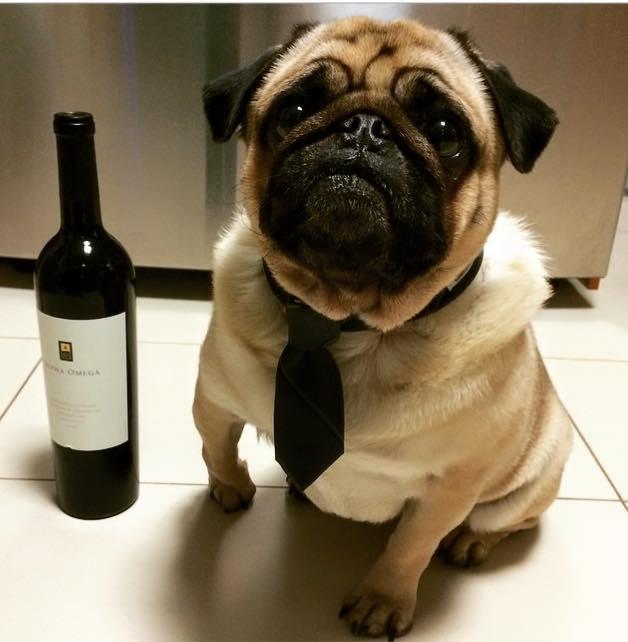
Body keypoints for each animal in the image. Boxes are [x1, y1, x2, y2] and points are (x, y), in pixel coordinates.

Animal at [193, 17, 573, 639]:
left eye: (444, 130)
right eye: (295, 109)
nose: (363, 128)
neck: (345, 320)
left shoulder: (449, 487)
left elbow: (410, 547)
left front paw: (383, 600)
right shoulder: (214, 401)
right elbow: (216, 447)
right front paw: (229, 488)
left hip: (530, 480)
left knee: (499, 522)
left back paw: (470, 542)